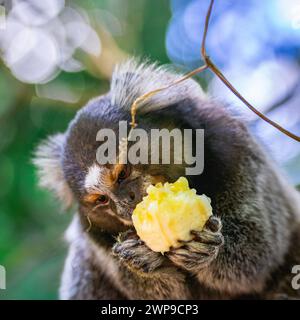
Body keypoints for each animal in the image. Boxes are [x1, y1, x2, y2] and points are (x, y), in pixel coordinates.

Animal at [34, 58, 300, 298]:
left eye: (122, 173)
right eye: (101, 199)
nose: (126, 203)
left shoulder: (236, 150)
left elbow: (258, 257)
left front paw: (207, 251)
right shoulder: (93, 234)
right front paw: (141, 262)